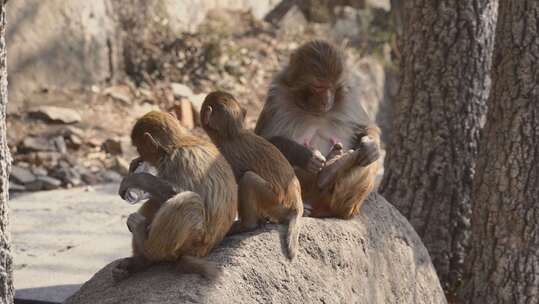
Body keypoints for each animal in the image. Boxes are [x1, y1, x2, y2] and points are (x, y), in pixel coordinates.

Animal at [113, 110, 237, 282]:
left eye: (138, 147)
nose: (139, 158)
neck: (175, 145)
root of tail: (205, 251)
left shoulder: (178, 160)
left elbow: (178, 192)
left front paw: (135, 179)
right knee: (158, 202)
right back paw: (140, 261)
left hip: (194, 243)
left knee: (188, 201)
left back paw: (148, 250)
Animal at [201, 90, 304, 258]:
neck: (233, 135)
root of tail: (296, 203)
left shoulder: (223, 155)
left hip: (275, 202)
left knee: (248, 179)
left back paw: (247, 225)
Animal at [255, 40, 382, 220]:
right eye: (318, 87)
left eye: (332, 86)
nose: (327, 101)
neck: (313, 111)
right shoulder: (276, 98)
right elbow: (263, 141)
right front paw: (306, 155)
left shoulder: (350, 96)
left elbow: (365, 127)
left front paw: (370, 145)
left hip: (329, 198)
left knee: (366, 160)